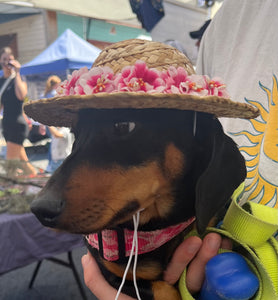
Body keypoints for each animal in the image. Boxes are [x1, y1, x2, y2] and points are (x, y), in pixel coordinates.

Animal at [25, 39, 260, 300]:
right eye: (75, 133)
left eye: (123, 125)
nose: (39, 209)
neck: (157, 231)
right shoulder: (113, 274)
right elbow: (162, 290)